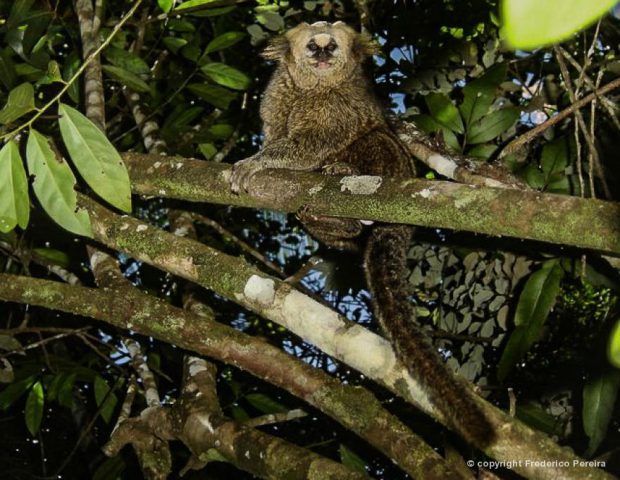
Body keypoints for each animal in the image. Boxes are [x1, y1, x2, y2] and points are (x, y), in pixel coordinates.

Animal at [230, 20, 492, 444]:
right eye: (313, 46)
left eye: (332, 46)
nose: (323, 54)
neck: (310, 88)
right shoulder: (275, 95)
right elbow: (278, 133)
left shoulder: (336, 104)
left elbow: (311, 145)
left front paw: (255, 163)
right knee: (315, 217)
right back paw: (337, 221)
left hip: (392, 166)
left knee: (375, 139)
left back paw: (345, 175)